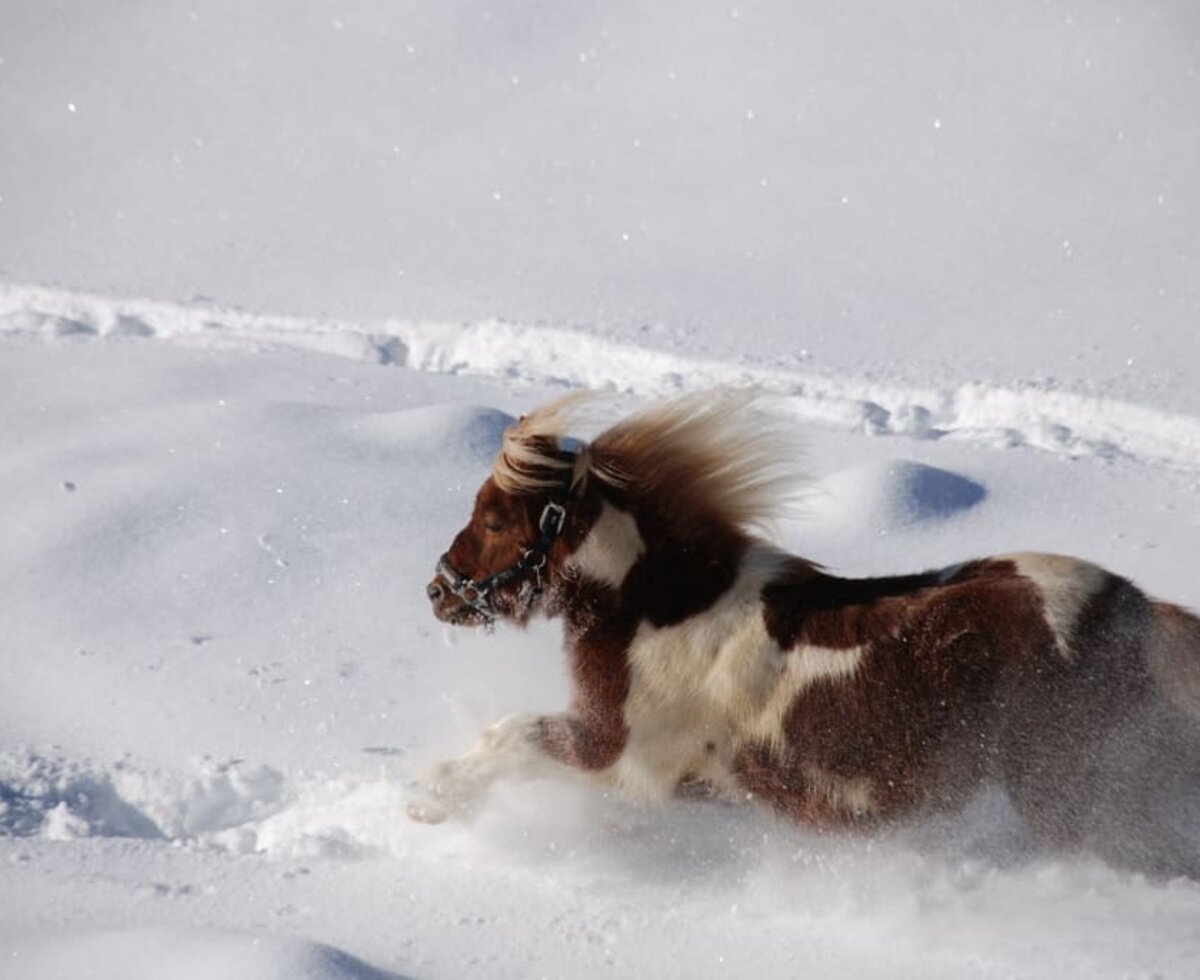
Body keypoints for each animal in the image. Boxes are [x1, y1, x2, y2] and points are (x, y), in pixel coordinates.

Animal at [410, 388, 1200, 873]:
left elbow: (509, 737)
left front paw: (430, 801)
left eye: (493, 521)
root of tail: (1134, 613)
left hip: (1072, 802)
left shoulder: (615, 753)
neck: (660, 608)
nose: (438, 592)